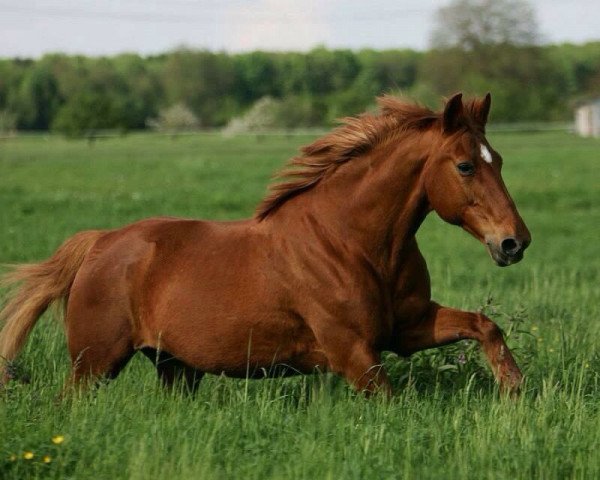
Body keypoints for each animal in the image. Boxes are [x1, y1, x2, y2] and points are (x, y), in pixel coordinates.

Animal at [1, 93, 528, 394]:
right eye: (465, 165)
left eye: (500, 159)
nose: (514, 242)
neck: (352, 243)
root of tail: (99, 243)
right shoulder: (352, 351)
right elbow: (392, 401)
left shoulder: (405, 328)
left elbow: (485, 327)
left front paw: (515, 392)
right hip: (95, 363)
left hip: (176, 368)